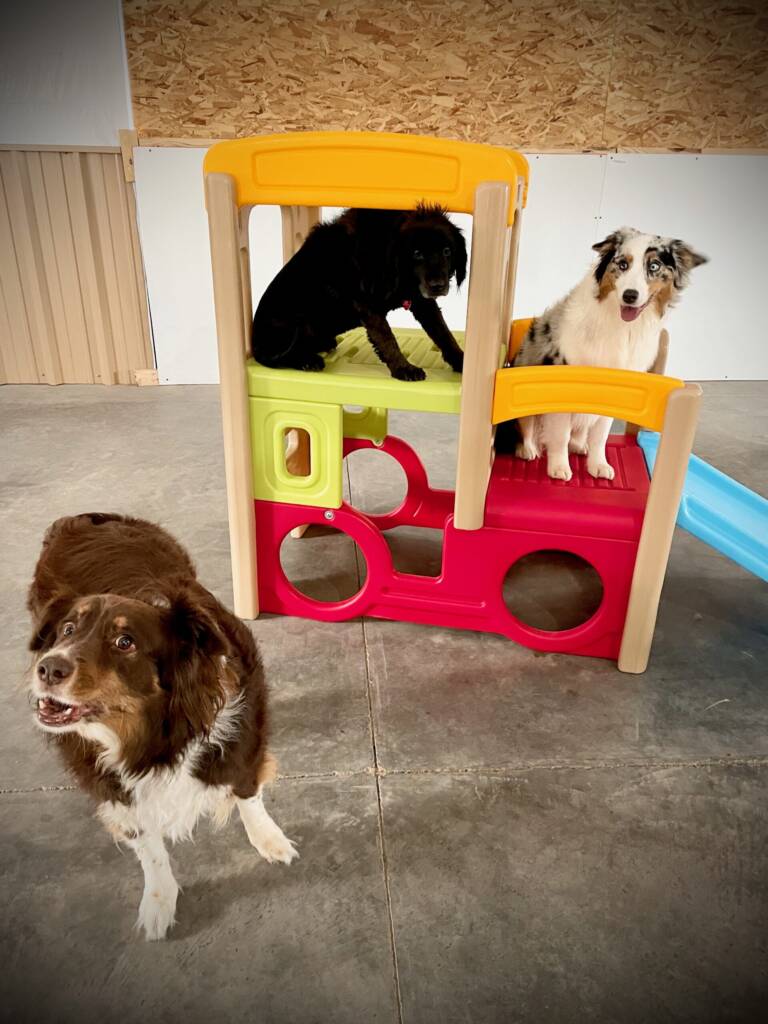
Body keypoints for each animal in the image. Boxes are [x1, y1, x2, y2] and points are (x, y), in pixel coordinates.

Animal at [26, 512, 297, 941]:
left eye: (125, 642)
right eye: (67, 630)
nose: (48, 668)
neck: (158, 737)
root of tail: (83, 516)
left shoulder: (242, 739)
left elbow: (248, 793)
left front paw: (269, 839)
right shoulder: (113, 785)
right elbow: (149, 847)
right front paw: (158, 900)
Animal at [251, 202, 467, 381]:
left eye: (447, 251)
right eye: (417, 254)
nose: (438, 285)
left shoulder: (422, 301)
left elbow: (443, 333)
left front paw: (461, 360)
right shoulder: (367, 305)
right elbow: (387, 338)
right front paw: (403, 368)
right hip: (292, 323)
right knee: (276, 357)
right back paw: (308, 360)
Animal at [497, 227, 707, 480]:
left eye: (654, 266)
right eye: (623, 264)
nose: (629, 295)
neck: (622, 326)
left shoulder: (613, 394)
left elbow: (600, 437)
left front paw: (598, 464)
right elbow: (560, 434)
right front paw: (559, 468)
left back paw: (579, 445)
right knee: (526, 427)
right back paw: (527, 449)